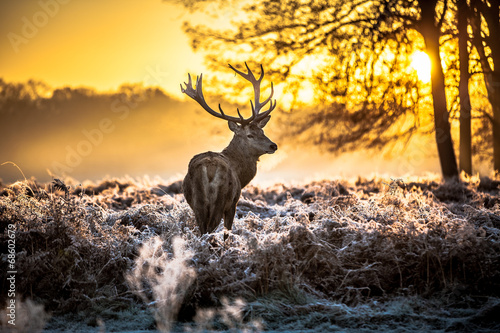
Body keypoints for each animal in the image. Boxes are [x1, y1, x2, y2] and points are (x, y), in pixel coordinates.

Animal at [182, 62, 280, 237]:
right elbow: (228, 229)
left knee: (202, 230)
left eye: (262, 131)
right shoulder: (234, 202)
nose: (273, 145)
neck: (241, 175)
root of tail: (209, 169)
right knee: (211, 228)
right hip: (221, 200)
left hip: (197, 202)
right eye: (250, 135)